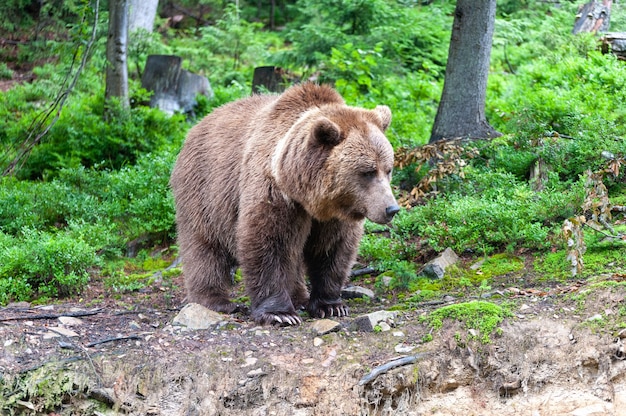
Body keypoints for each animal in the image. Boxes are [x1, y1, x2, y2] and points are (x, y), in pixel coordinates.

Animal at [168, 83, 398, 324]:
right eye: (368, 172)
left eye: (388, 169)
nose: (391, 208)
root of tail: (197, 126)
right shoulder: (273, 191)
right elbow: (268, 242)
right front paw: (280, 313)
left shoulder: (335, 212)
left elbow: (333, 248)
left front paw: (331, 305)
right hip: (205, 190)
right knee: (204, 245)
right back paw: (215, 300)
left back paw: (299, 296)